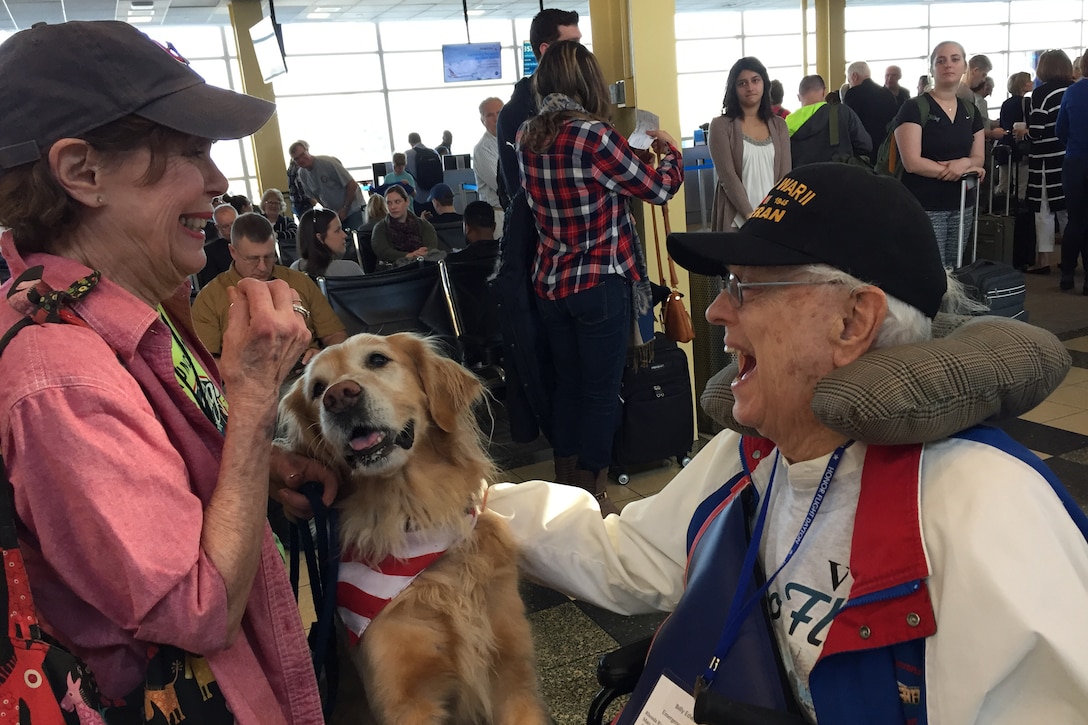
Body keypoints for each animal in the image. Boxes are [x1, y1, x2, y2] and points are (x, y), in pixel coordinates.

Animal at [278, 333, 548, 722]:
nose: (339, 396)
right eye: (316, 389)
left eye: (377, 359)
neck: (415, 518)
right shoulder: (406, 701)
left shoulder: (513, 678)